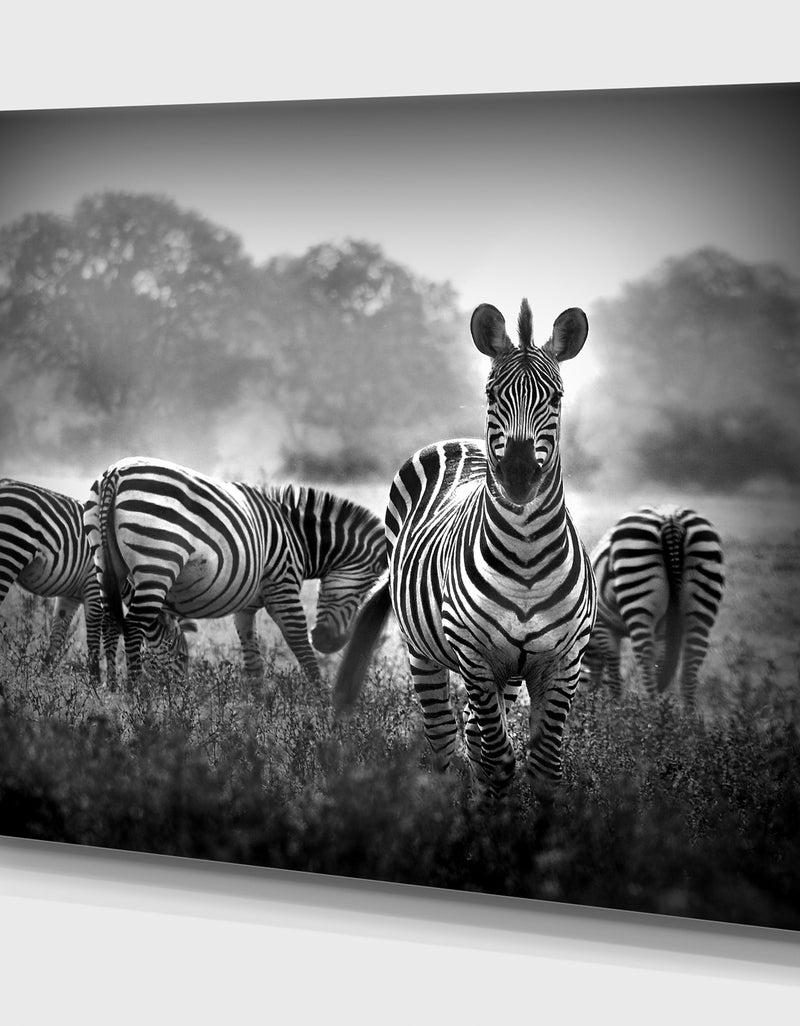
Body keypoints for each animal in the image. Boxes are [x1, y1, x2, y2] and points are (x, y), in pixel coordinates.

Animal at [0, 478, 102, 677]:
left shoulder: (71, 596)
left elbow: (57, 637)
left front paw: (44, 679)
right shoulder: (94, 586)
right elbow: (96, 644)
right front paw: (98, 683)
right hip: (9, 554)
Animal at [83, 457, 387, 685]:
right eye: (364, 591)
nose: (329, 644)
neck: (298, 538)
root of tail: (115, 473)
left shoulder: (246, 607)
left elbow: (253, 664)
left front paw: (258, 714)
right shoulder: (283, 585)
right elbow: (300, 644)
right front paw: (322, 706)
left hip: (106, 562)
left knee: (111, 622)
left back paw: (112, 692)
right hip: (156, 565)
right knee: (133, 625)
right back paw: (137, 696)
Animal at [335, 300, 596, 801]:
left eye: (555, 399)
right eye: (492, 395)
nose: (518, 476)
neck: (527, 556)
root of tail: (460, 442)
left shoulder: (563, 660)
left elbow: (544, 767)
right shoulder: (475, 655)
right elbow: (497, 760)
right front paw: (487, 818)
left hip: (506, 674)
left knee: (475, 732)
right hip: (424, 652)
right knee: (444, 738)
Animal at [579, 505, 724, 711]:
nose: (582, 704)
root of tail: (671, 519)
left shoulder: (603, 625)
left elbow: (614, 670)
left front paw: (615, 707)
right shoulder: (663, 630)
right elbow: (660, 661)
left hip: (636, 587)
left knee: (645, 655)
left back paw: (651, 709)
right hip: (703, 592)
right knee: (692, 659)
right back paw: (685, 716)